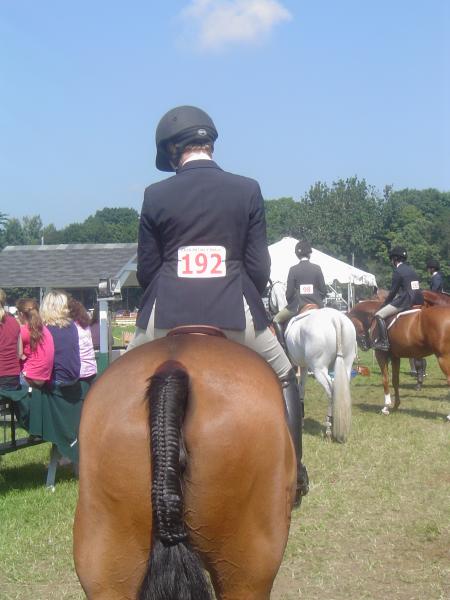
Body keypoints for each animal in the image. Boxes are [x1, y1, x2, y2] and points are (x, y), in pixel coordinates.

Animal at [269, 281, 356, 442]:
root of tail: (335, 318)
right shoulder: (303, 366)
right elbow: (302, 387)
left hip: (319, 369)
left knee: (331, 390)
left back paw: (329, 428)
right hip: (346, 364)